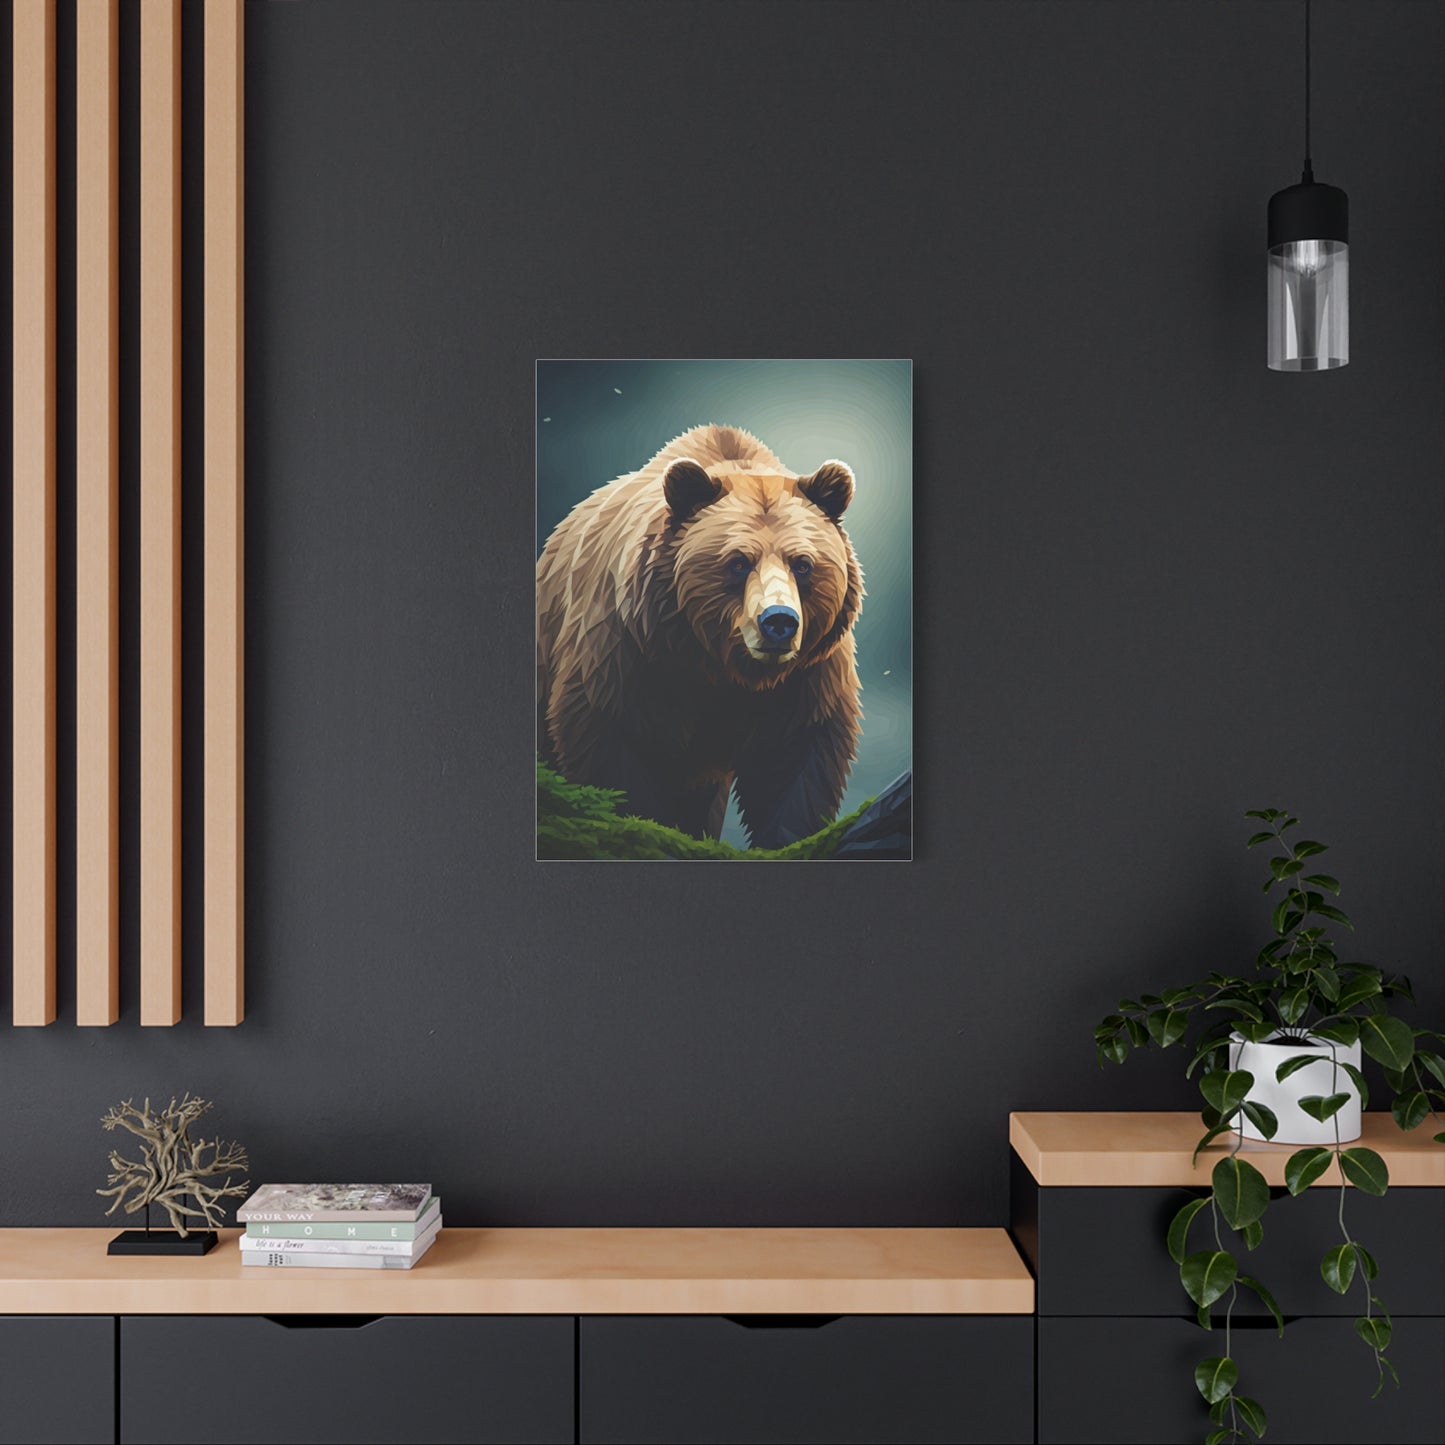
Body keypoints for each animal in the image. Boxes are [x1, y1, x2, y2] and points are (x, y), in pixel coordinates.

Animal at [537, 423, 864, 849]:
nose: (778, 621)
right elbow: (613, 744)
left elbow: (795, 763)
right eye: (738, 562)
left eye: (803, 564)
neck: (717, 664)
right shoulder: (626, 651)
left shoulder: (808, 675)